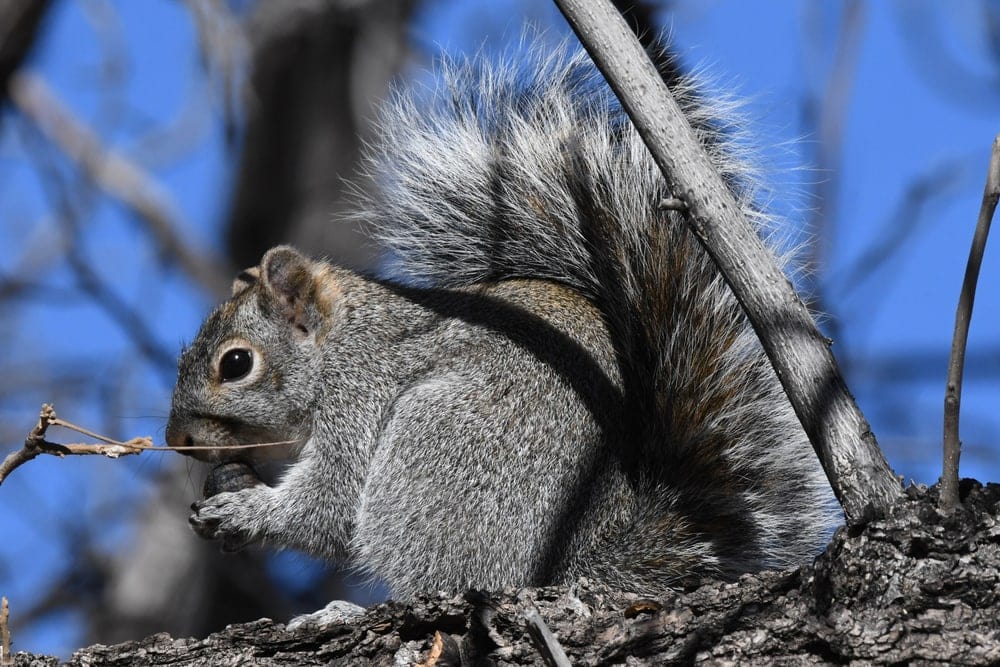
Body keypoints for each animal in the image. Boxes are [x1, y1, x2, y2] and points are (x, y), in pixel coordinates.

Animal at [165, 45, 837, 599]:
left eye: (236, 364)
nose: (179, 441)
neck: (340, 346)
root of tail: (575, 567)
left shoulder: (364, 395)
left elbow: (330, 505)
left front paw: (244, 511)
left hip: (439, 451)